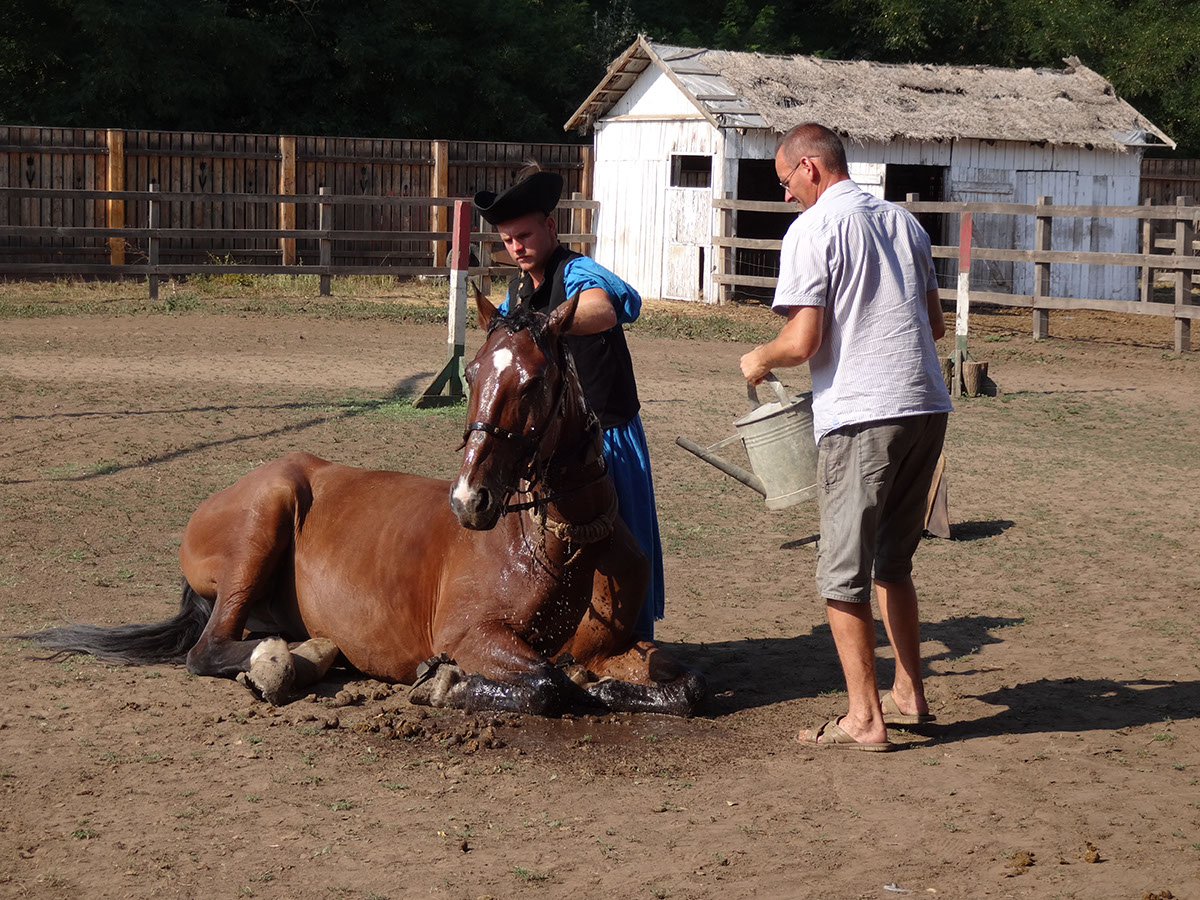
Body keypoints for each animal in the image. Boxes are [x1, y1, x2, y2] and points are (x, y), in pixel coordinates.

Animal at [17, 291, 706, 717]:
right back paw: (278, 664)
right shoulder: (472, 634)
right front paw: (446, 683)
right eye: (474, 373)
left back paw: (310, 655)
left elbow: (675, 684)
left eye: (534, 382)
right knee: (208, 649)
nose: (469, 500)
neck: (564, 545)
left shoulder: (612, 646)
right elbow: (546, 684)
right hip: (265, 518)